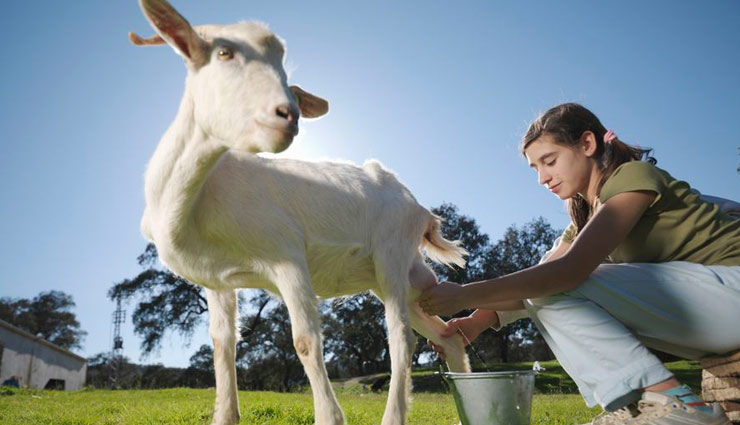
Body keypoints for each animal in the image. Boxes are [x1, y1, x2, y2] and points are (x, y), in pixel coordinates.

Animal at [130, 0, 471, 424]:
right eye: (224, 52)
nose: (287, 114)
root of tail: (421, 209)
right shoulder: (218, 281)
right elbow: (222, 344)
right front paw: (224, 415)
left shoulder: (287, 255)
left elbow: (305, 340)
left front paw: (330, 415)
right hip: (399, 277)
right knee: (447, 335)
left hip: (391, 255)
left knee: (401, 339)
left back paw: (394, 415)